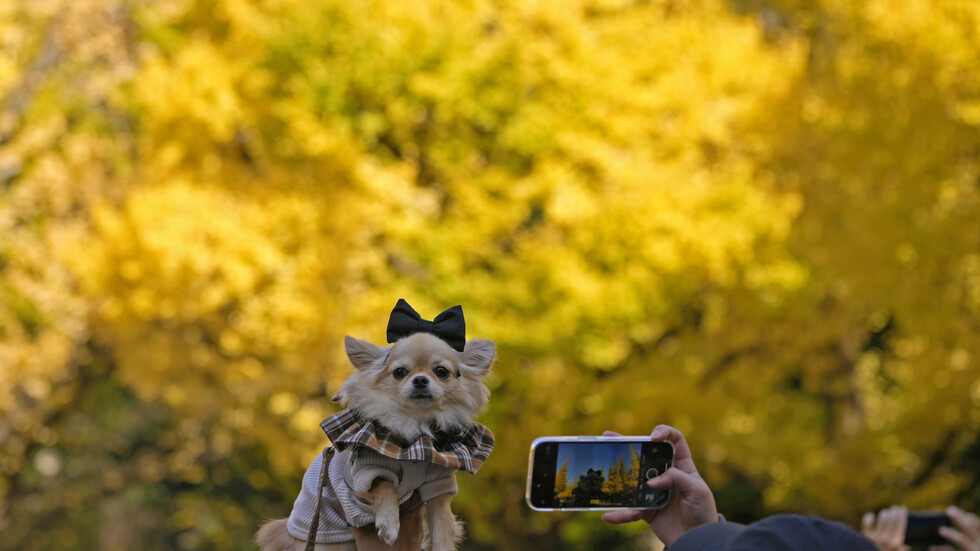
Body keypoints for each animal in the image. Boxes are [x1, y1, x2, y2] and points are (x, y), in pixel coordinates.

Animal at [255, 302, 494, 551]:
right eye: (399, 372)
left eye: (441, 371)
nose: (420, 380)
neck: (414, 427)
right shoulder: (360, 478)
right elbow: (385, 486)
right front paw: (389, 524)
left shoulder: (439, 484)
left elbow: (442, 527)